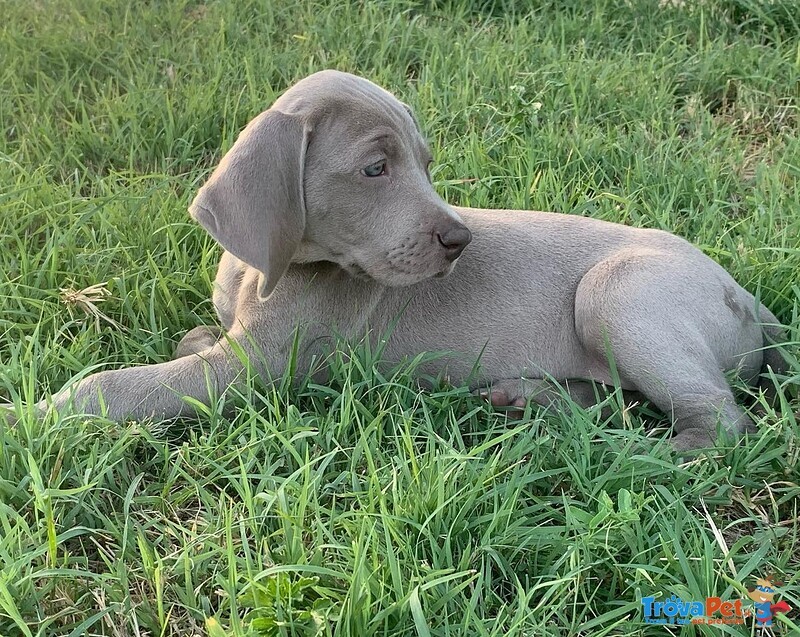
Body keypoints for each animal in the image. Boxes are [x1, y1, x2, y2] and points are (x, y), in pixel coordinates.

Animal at [15, 72, 784, 450]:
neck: (263, 272)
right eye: (376, 168)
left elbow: (121, 384)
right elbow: (192, 338)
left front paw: (41, 410)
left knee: (721, 425)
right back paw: (529, 399)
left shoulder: (254, 371)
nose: (460, 240)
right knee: (619, 399)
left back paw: (630, 455)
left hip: (617, 291)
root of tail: (747, 295)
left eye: (423, 162)